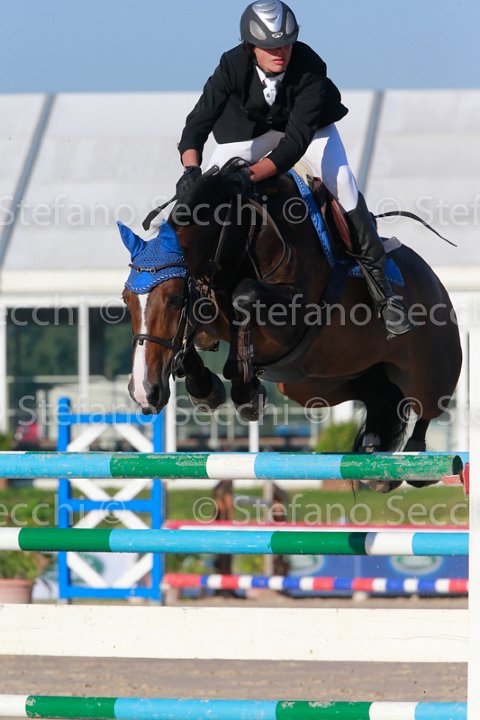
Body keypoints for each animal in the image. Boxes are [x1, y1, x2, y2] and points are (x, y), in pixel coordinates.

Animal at [121, 160, 462, 491]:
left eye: (176, 298)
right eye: (126, 300)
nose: (143, 392)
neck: (239, 238)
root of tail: (436, 282)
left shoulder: (289, 322)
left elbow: (245, 296)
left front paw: (244, 388)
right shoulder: (207, 313)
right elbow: (189, 344)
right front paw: (206, 389)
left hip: (426, 373)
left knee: (427, 408)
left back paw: (416, 462)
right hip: (323, 384)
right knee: (380, 399)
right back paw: (374, 459)